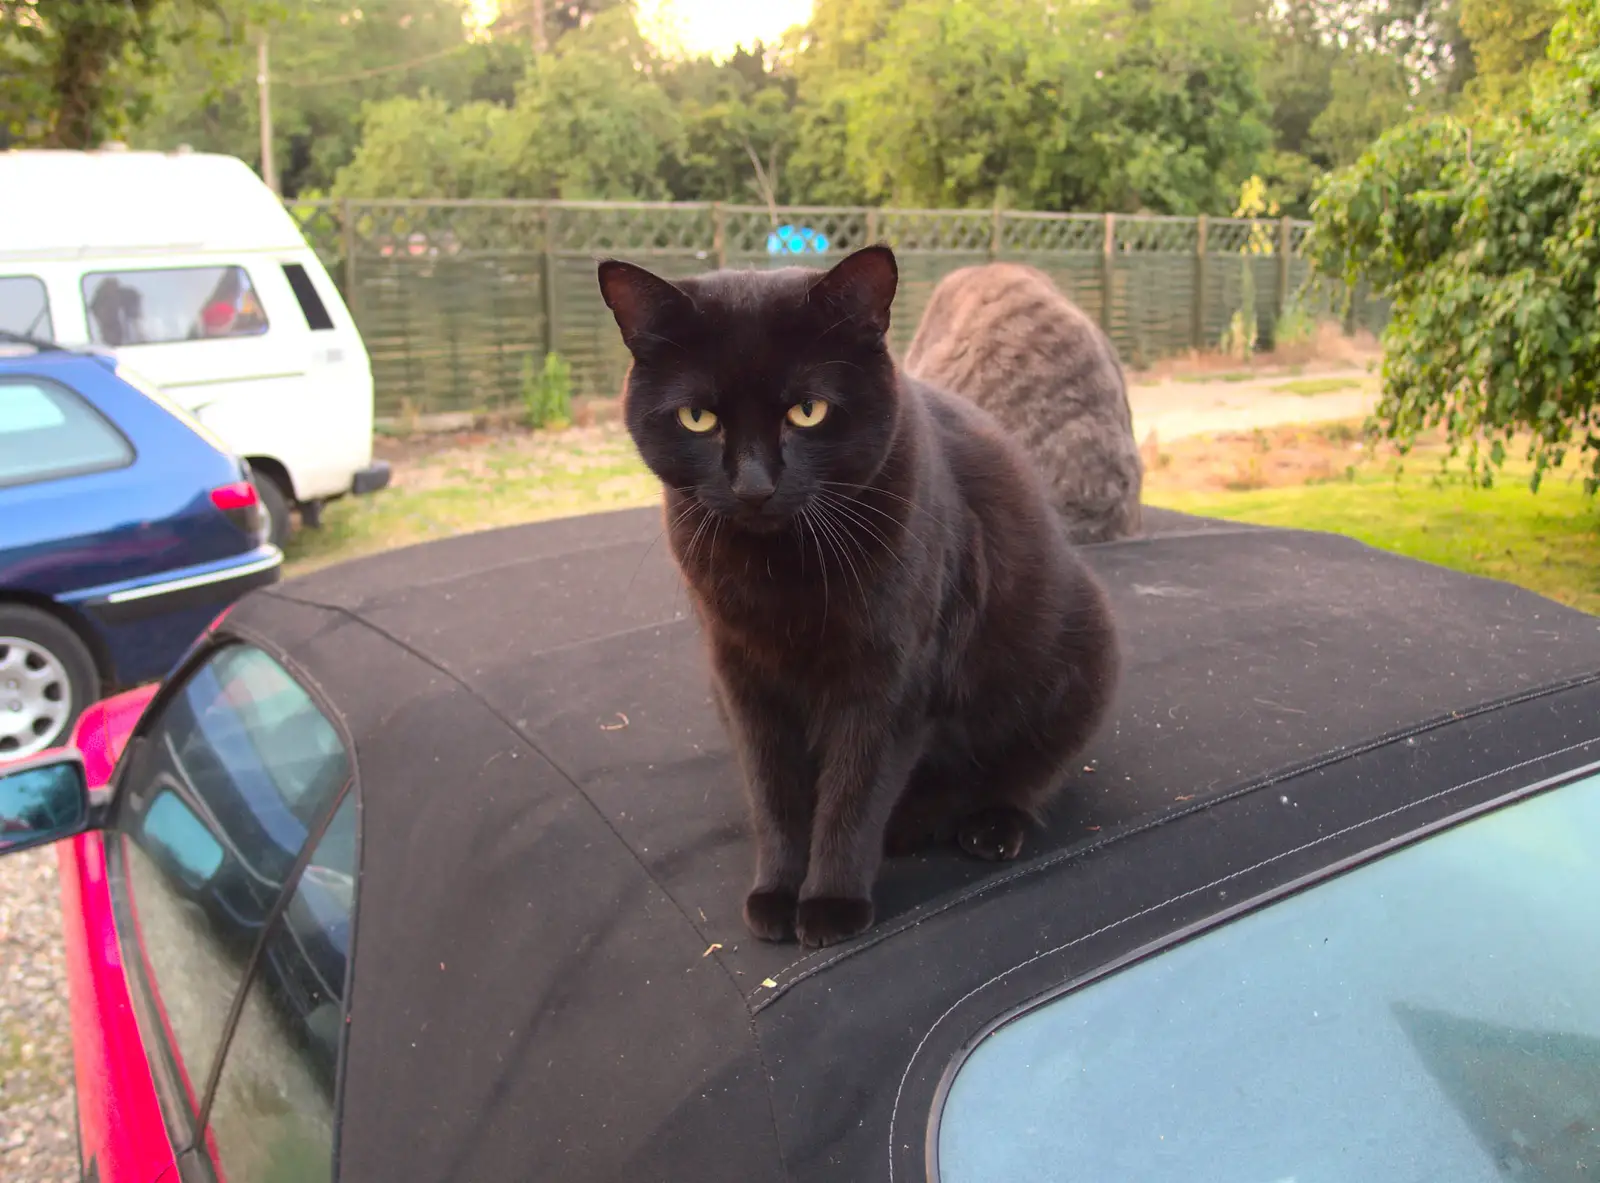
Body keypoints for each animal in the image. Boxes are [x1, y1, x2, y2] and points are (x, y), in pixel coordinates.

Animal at [595, 244, 1120, 947]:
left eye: (808, 411)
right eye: (698, 418)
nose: (754, 486)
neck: (781, 573)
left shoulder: (887, 682)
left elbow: (853, 793)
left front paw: (830, 902)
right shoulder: (743, 679)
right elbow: (775, 793)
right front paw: (776, 892)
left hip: (1081, 655)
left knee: (1025, 775)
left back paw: (977, 826)